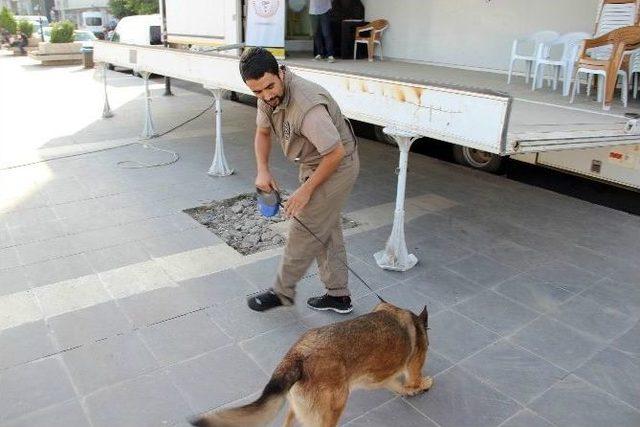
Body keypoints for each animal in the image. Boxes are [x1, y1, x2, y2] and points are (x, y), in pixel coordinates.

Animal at [189, 302, 430, 427]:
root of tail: (297, 354)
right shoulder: (413, 369)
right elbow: (416, 380)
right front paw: (423, 385)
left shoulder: (383, 379)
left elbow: (400, 386)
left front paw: (409, 391)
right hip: (333, 409)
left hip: (298, 408)